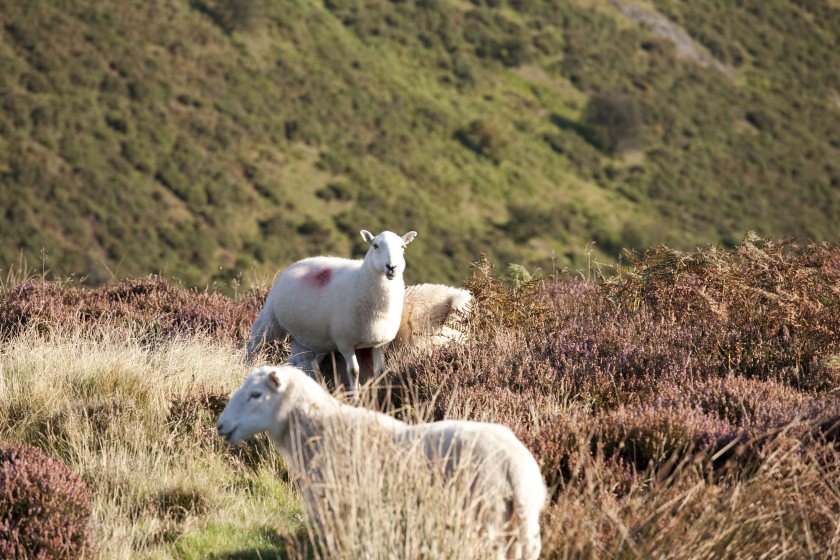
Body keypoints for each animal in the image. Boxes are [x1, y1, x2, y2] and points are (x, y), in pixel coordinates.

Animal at [216, 365, 546, 559]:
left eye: (256, 394)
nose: (221, 425)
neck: (320, 428)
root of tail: (516, 466)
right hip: (517, 524)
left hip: (486, 516)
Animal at [246, 229, 417, 390]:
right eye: (375, 246)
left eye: (402, 247)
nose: (391, 267)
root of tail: (297, 263)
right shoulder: (345, 341)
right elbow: (353, 371)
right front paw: (355, 396)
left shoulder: (379, 344)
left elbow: (379, 372)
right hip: (270, 319)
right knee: (253, 345)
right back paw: (248, 368)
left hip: (308, 338)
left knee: (300, 362)